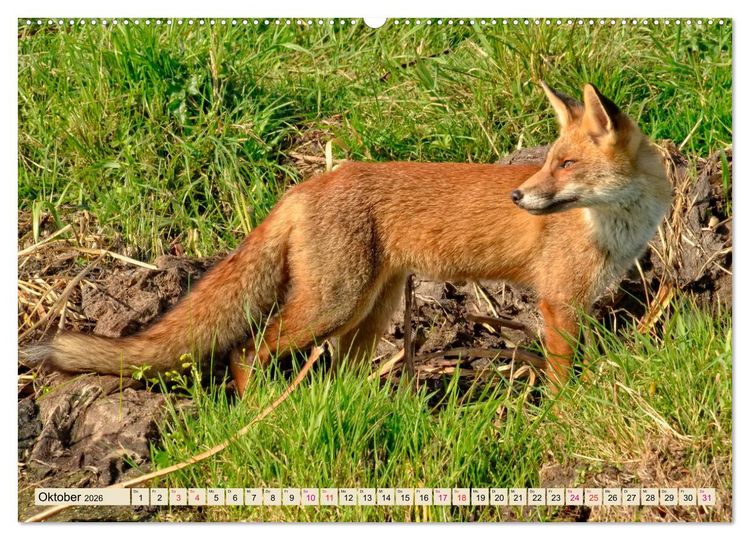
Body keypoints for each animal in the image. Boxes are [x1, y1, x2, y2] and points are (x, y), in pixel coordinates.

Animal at [25, 82, 671, 396]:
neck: (615, 225)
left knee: (337, 373)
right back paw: (259, 413)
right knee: (244, 351)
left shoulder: (573, 303)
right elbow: (563, 378)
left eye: (565, 164)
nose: (518, 197)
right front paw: (564, 414)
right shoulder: (558, 302)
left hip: (368, 312)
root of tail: (310, 182)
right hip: (332, 304)